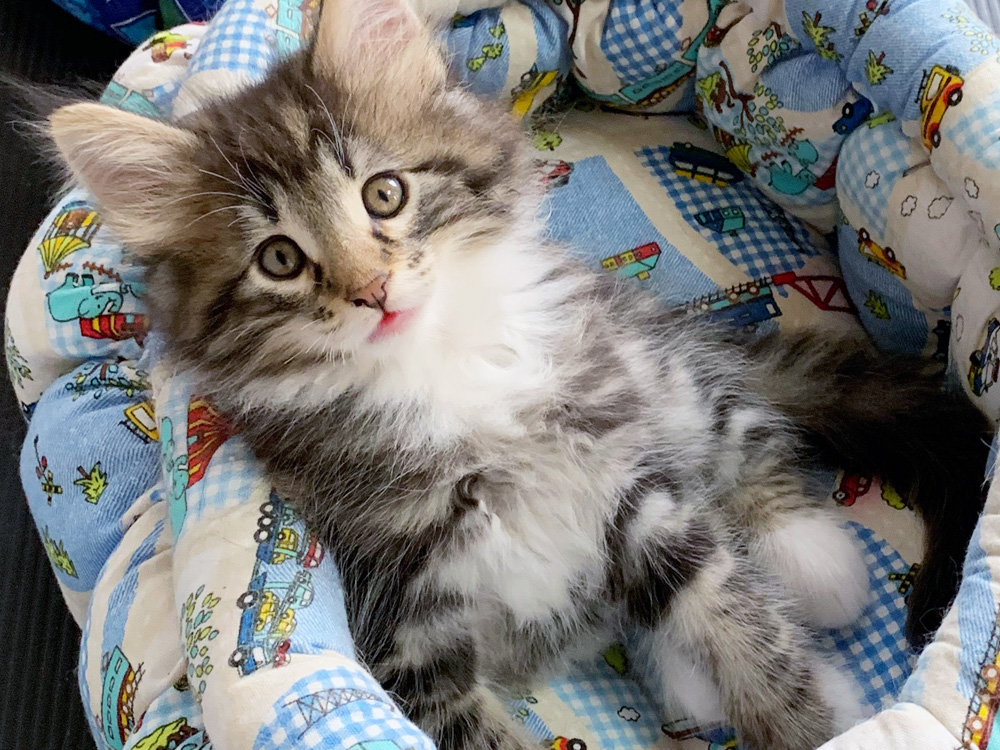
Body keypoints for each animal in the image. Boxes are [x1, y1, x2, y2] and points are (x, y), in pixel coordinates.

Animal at [45, 0, 991, 747]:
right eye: (279, 259)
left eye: (384, 194)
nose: (372, 290)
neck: (433, 371)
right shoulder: (401, 623)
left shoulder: (623, 473)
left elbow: (735, 616)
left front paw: (806, 722)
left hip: (649, 367)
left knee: (741, 434)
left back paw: (815, 563)